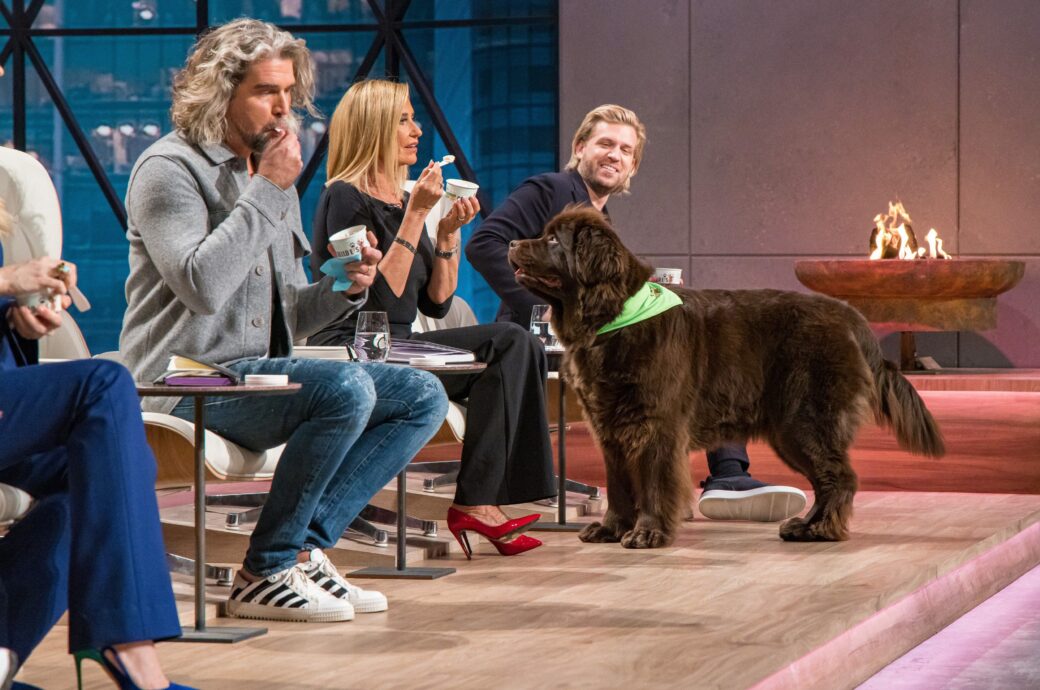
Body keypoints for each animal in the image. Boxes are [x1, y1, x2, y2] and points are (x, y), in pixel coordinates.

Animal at [508, 207, 944, 547]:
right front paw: (611, 529)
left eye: (552, 240)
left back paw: (820, 530)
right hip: (791, 429)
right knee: (828, 479)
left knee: (839, 476)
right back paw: (806, 526)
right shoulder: (610, 428)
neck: (612, 317)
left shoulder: (656, 426)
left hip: (805, 420)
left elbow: (653, 483)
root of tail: (851, 316)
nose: (512, 244)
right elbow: (618, 485)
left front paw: (648, 533)